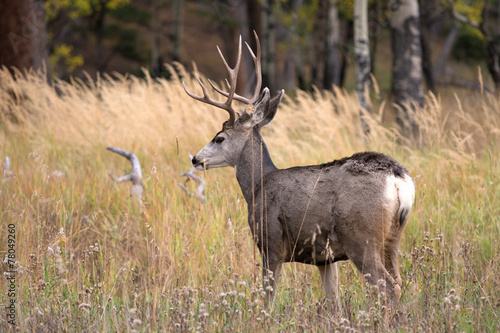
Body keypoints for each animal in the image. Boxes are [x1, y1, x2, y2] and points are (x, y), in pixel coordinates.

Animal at [183, 32, 414, 308]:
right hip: (393, 238)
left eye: (219, 138)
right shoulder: (325, 258)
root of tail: (399, 179)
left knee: (387, 287)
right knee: (400, 282)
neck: (258, 186)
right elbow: (334, 302)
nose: (196, 159)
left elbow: (268, 299)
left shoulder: (271, 242)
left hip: (361, 236)